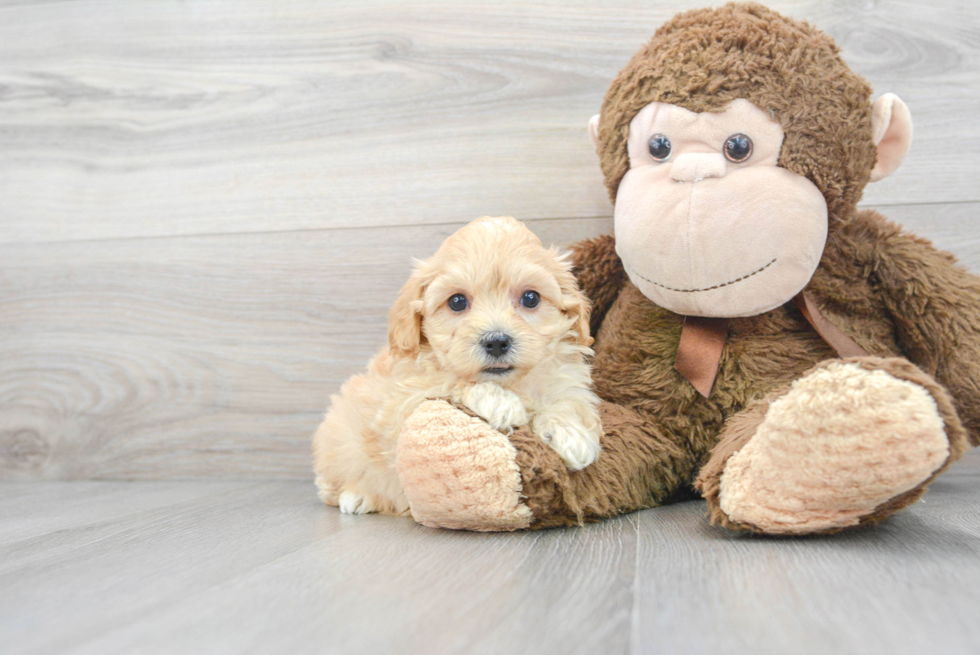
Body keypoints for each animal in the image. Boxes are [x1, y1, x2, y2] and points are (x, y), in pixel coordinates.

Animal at [314, 218, 604, 516]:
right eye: (457, 301)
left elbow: (568, 399)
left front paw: (571, 433)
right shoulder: (401, 402)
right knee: (332, 484)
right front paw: (501, 403)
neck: (510, 382)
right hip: (338, 440)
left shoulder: (566, 377)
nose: (496, 341)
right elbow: (449, 381)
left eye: (531, 298)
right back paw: (357, 496)